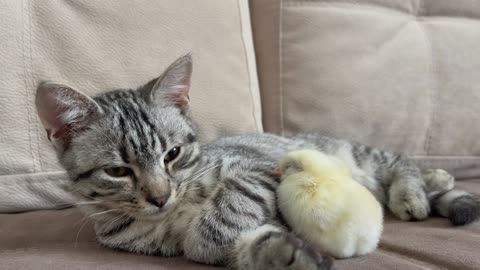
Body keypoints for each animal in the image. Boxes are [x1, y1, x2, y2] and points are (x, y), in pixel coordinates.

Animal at [35, 54, 478, 270]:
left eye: (172, 154)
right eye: (118, 171)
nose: (160, 197)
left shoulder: (256, 168)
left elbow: (225, 213)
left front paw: (207, 236)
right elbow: (237, 248)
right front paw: (283, 254)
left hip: (355, 154)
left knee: (398, 161)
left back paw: (420, 188)